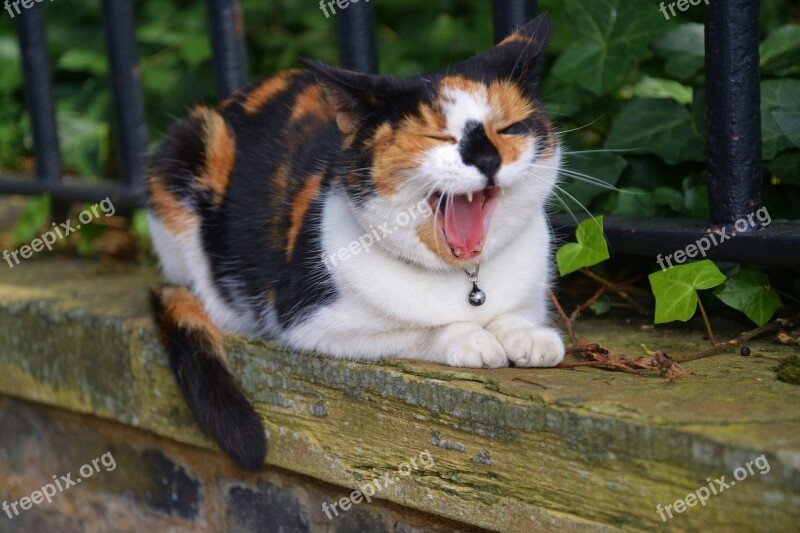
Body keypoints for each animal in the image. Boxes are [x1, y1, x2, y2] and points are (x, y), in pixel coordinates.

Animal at [147, 14, 564, 470]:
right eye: (437, 138)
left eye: (508, 128)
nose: (488, 159)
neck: (467, 281)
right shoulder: (313, 324)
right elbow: (416, 330)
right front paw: (471, 339)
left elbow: (516, 315)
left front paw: (529, 337)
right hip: (185, 155)